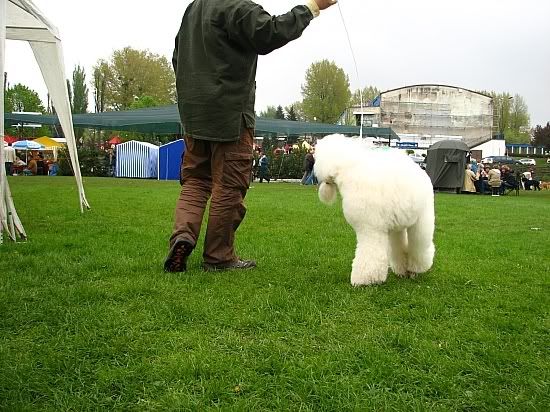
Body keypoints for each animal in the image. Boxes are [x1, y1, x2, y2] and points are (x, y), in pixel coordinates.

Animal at [314, 134, 435, 286]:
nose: (322, 183)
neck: (349, 172)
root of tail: (421, 172)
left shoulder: (369, 229)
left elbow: (369, 254)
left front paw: (362, 281)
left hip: (422, 220)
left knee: (419, 247)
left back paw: (415, 271)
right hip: (398, 227)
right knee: (399, 246)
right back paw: (402, 271)